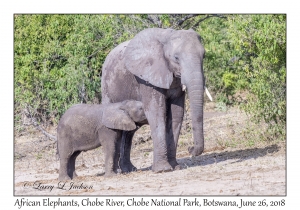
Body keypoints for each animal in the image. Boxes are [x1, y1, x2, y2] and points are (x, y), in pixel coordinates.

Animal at [101, 27, 209, 172]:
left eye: (204, 56)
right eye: (176, 58)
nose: (190, 148)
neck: (167, 37)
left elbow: (176, 114)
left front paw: (175, 167)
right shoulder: (146, 78)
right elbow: (156, 112)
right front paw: (163, 169)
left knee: (130, 130)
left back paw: (129, 169)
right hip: (107, 87)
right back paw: (119, 171)